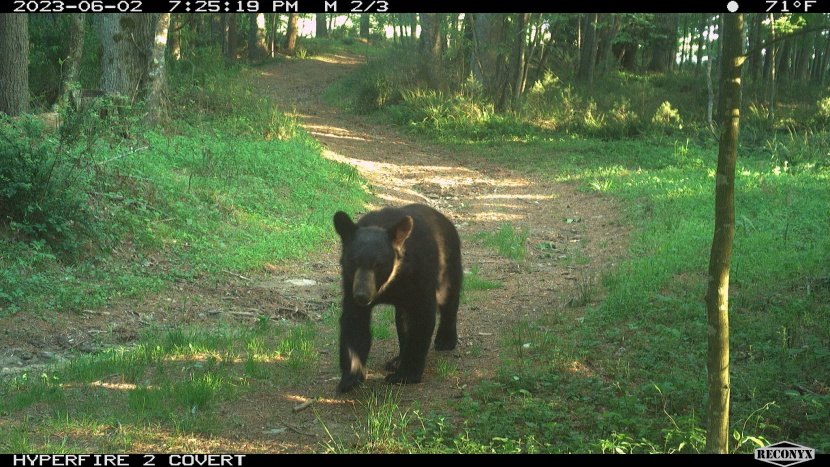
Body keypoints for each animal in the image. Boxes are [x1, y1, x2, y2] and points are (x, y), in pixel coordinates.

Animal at [333, 203, 463, 393]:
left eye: (378, 264)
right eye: (354, 261)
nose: (362, 296)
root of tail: (445, 219)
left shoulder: (420, 274)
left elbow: (422, 317)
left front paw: (405, 375)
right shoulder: (351, 282)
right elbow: (354, 323)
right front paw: (350, 377)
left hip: (448, 263)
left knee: (449, 297)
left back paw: (445, 340)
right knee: (403, 320)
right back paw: (397, 360)